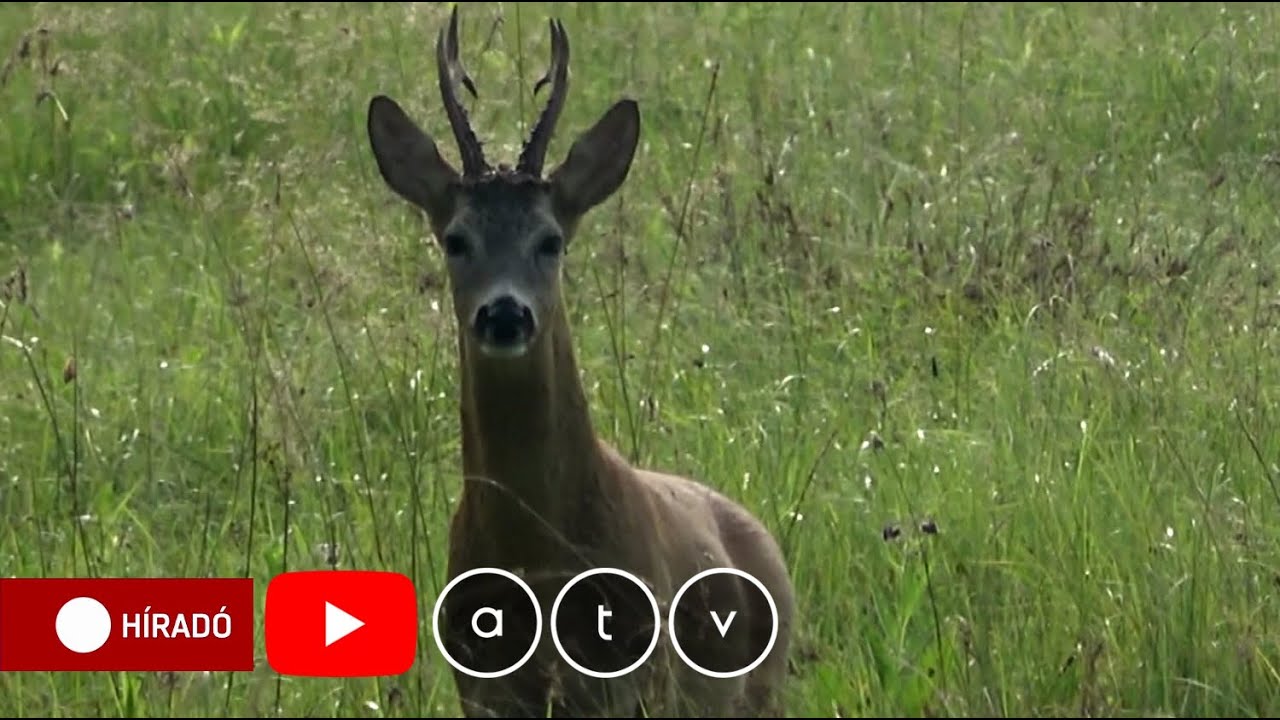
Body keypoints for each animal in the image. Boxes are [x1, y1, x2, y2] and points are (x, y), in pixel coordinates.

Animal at [366, 7, 793, 717]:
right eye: (456, 239)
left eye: (551, 240)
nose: (504, 314)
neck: (538, 561)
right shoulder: (481, 688)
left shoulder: (633, 681)